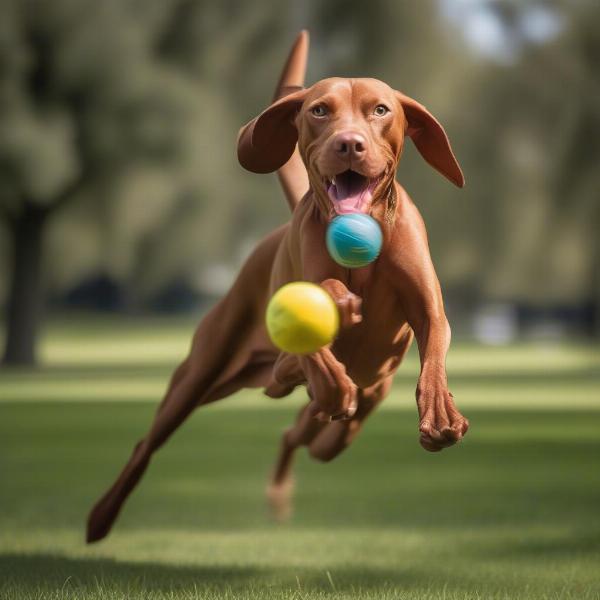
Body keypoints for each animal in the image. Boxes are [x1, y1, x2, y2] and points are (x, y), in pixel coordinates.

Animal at [85, 30, 468, 540]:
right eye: (319, 110)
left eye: (381, 110)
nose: (349, 144)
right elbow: (320, 335)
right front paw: (334, 340)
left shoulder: (429, 311)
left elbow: (434, 354)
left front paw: (440, 415)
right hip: (201, 375)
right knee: (149, 443)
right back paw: (101, 517)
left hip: (350, 408)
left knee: (304, 432)